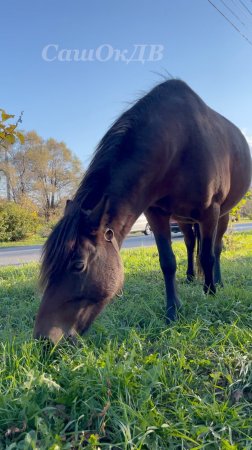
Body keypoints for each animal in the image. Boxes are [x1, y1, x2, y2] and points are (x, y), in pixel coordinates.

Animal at [34, 80, 252, 342]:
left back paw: (216, 282)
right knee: (190, 244)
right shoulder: (156, 214)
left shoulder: (210, 212)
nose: (43, 339)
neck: (179, 144)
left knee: (215, 249)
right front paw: (172, 311)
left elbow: (207, 256)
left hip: (222, 216)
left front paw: (210, 294)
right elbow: (168, 262)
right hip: (184, 219)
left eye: (78, 265)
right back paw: (190, 277)